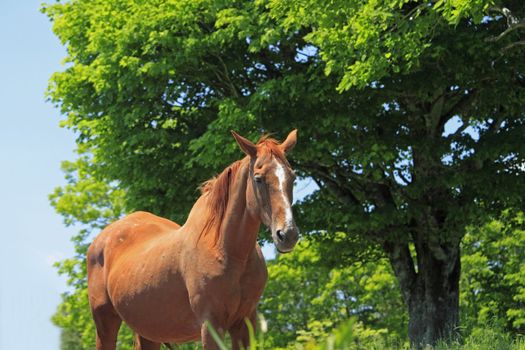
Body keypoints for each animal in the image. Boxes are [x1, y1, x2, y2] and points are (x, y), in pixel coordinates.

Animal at [86, 130, 298, 348]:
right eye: (258, 178)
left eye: (292, 177)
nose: (287, 234)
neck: (228, 251)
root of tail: (101, 240)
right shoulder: (211, 325)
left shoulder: (245, 323)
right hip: (105, 323)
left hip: (148, 333)